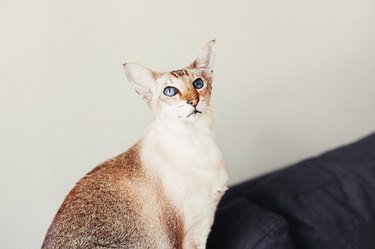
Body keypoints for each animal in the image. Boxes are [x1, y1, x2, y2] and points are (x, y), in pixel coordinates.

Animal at [42, 40, 228, 249]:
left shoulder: (203, 226)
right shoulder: (189, 235)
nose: (193, 101)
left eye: (198, 83)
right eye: (170, 91)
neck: (197, 137)